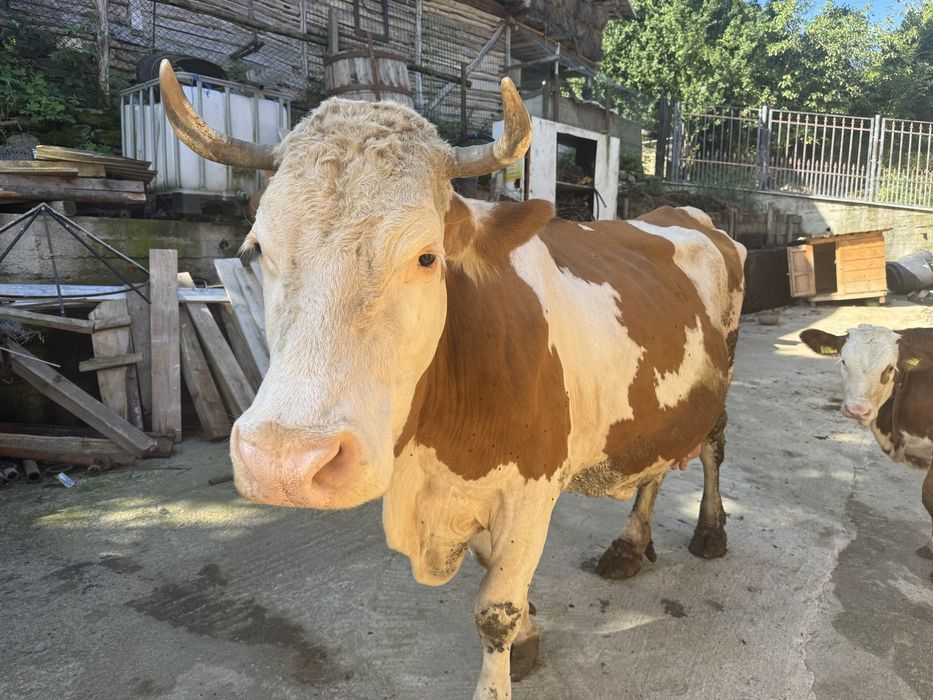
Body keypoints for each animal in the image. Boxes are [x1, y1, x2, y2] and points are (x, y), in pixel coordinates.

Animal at [159, 60, 746, 699]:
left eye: (426, 256)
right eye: (256, 249)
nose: (284, 464)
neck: (429, 454)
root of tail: (685, 215)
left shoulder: (531, 491)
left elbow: (495, 610)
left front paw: (504, 665)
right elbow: (497, 579)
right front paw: (531, 636)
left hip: (724, 373)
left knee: (713, 448)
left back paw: (710, 533)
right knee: (657, 463)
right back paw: (630, 545)